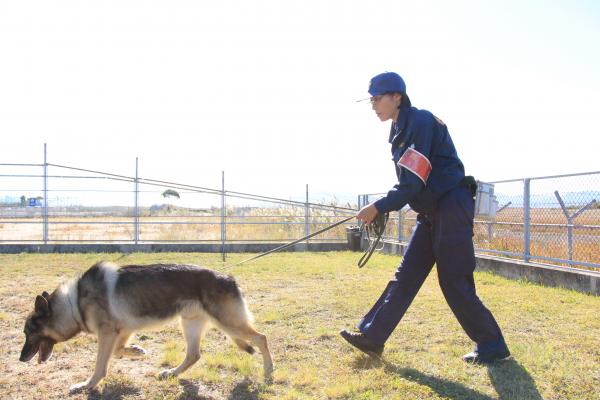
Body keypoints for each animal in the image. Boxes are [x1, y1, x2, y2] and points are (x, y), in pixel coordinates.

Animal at [17, 260, 274, 392]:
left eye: (28, 332)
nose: (20, 358)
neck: (75, 301)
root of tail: (229, 278)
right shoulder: (121, 331)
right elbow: (119, 351)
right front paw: (136, 351)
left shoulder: (108, 333)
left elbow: (100, 366)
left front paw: (86, 385)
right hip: (189, 323)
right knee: (194, 355)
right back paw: (171, 373)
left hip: (229, 324)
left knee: (261, 338)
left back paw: (269, 372)